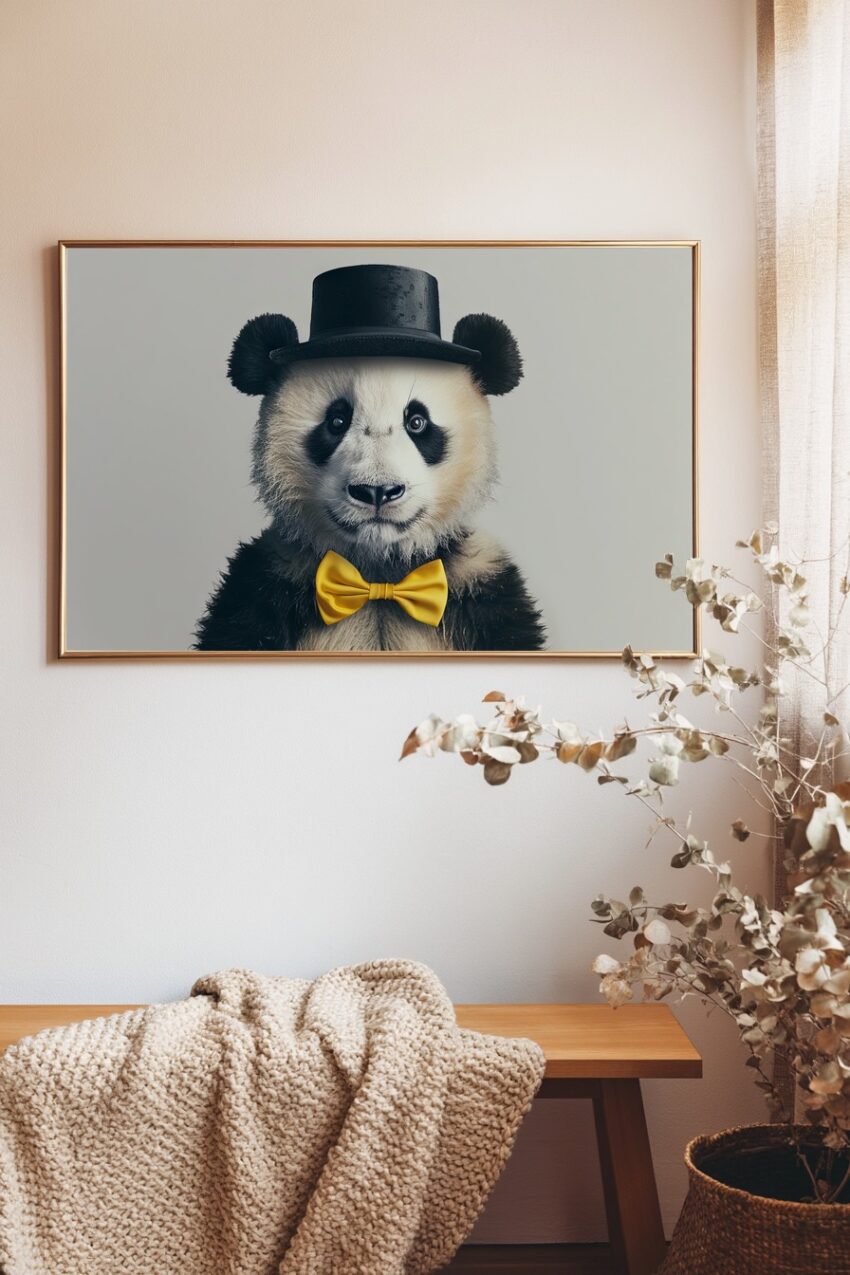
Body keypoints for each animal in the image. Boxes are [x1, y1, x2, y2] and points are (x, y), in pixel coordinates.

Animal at [195, 264, 545, 652]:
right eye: (336, 421)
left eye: (417, 422)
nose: (378, 491)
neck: (378, 571)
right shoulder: (263, 585)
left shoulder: (484, 589)